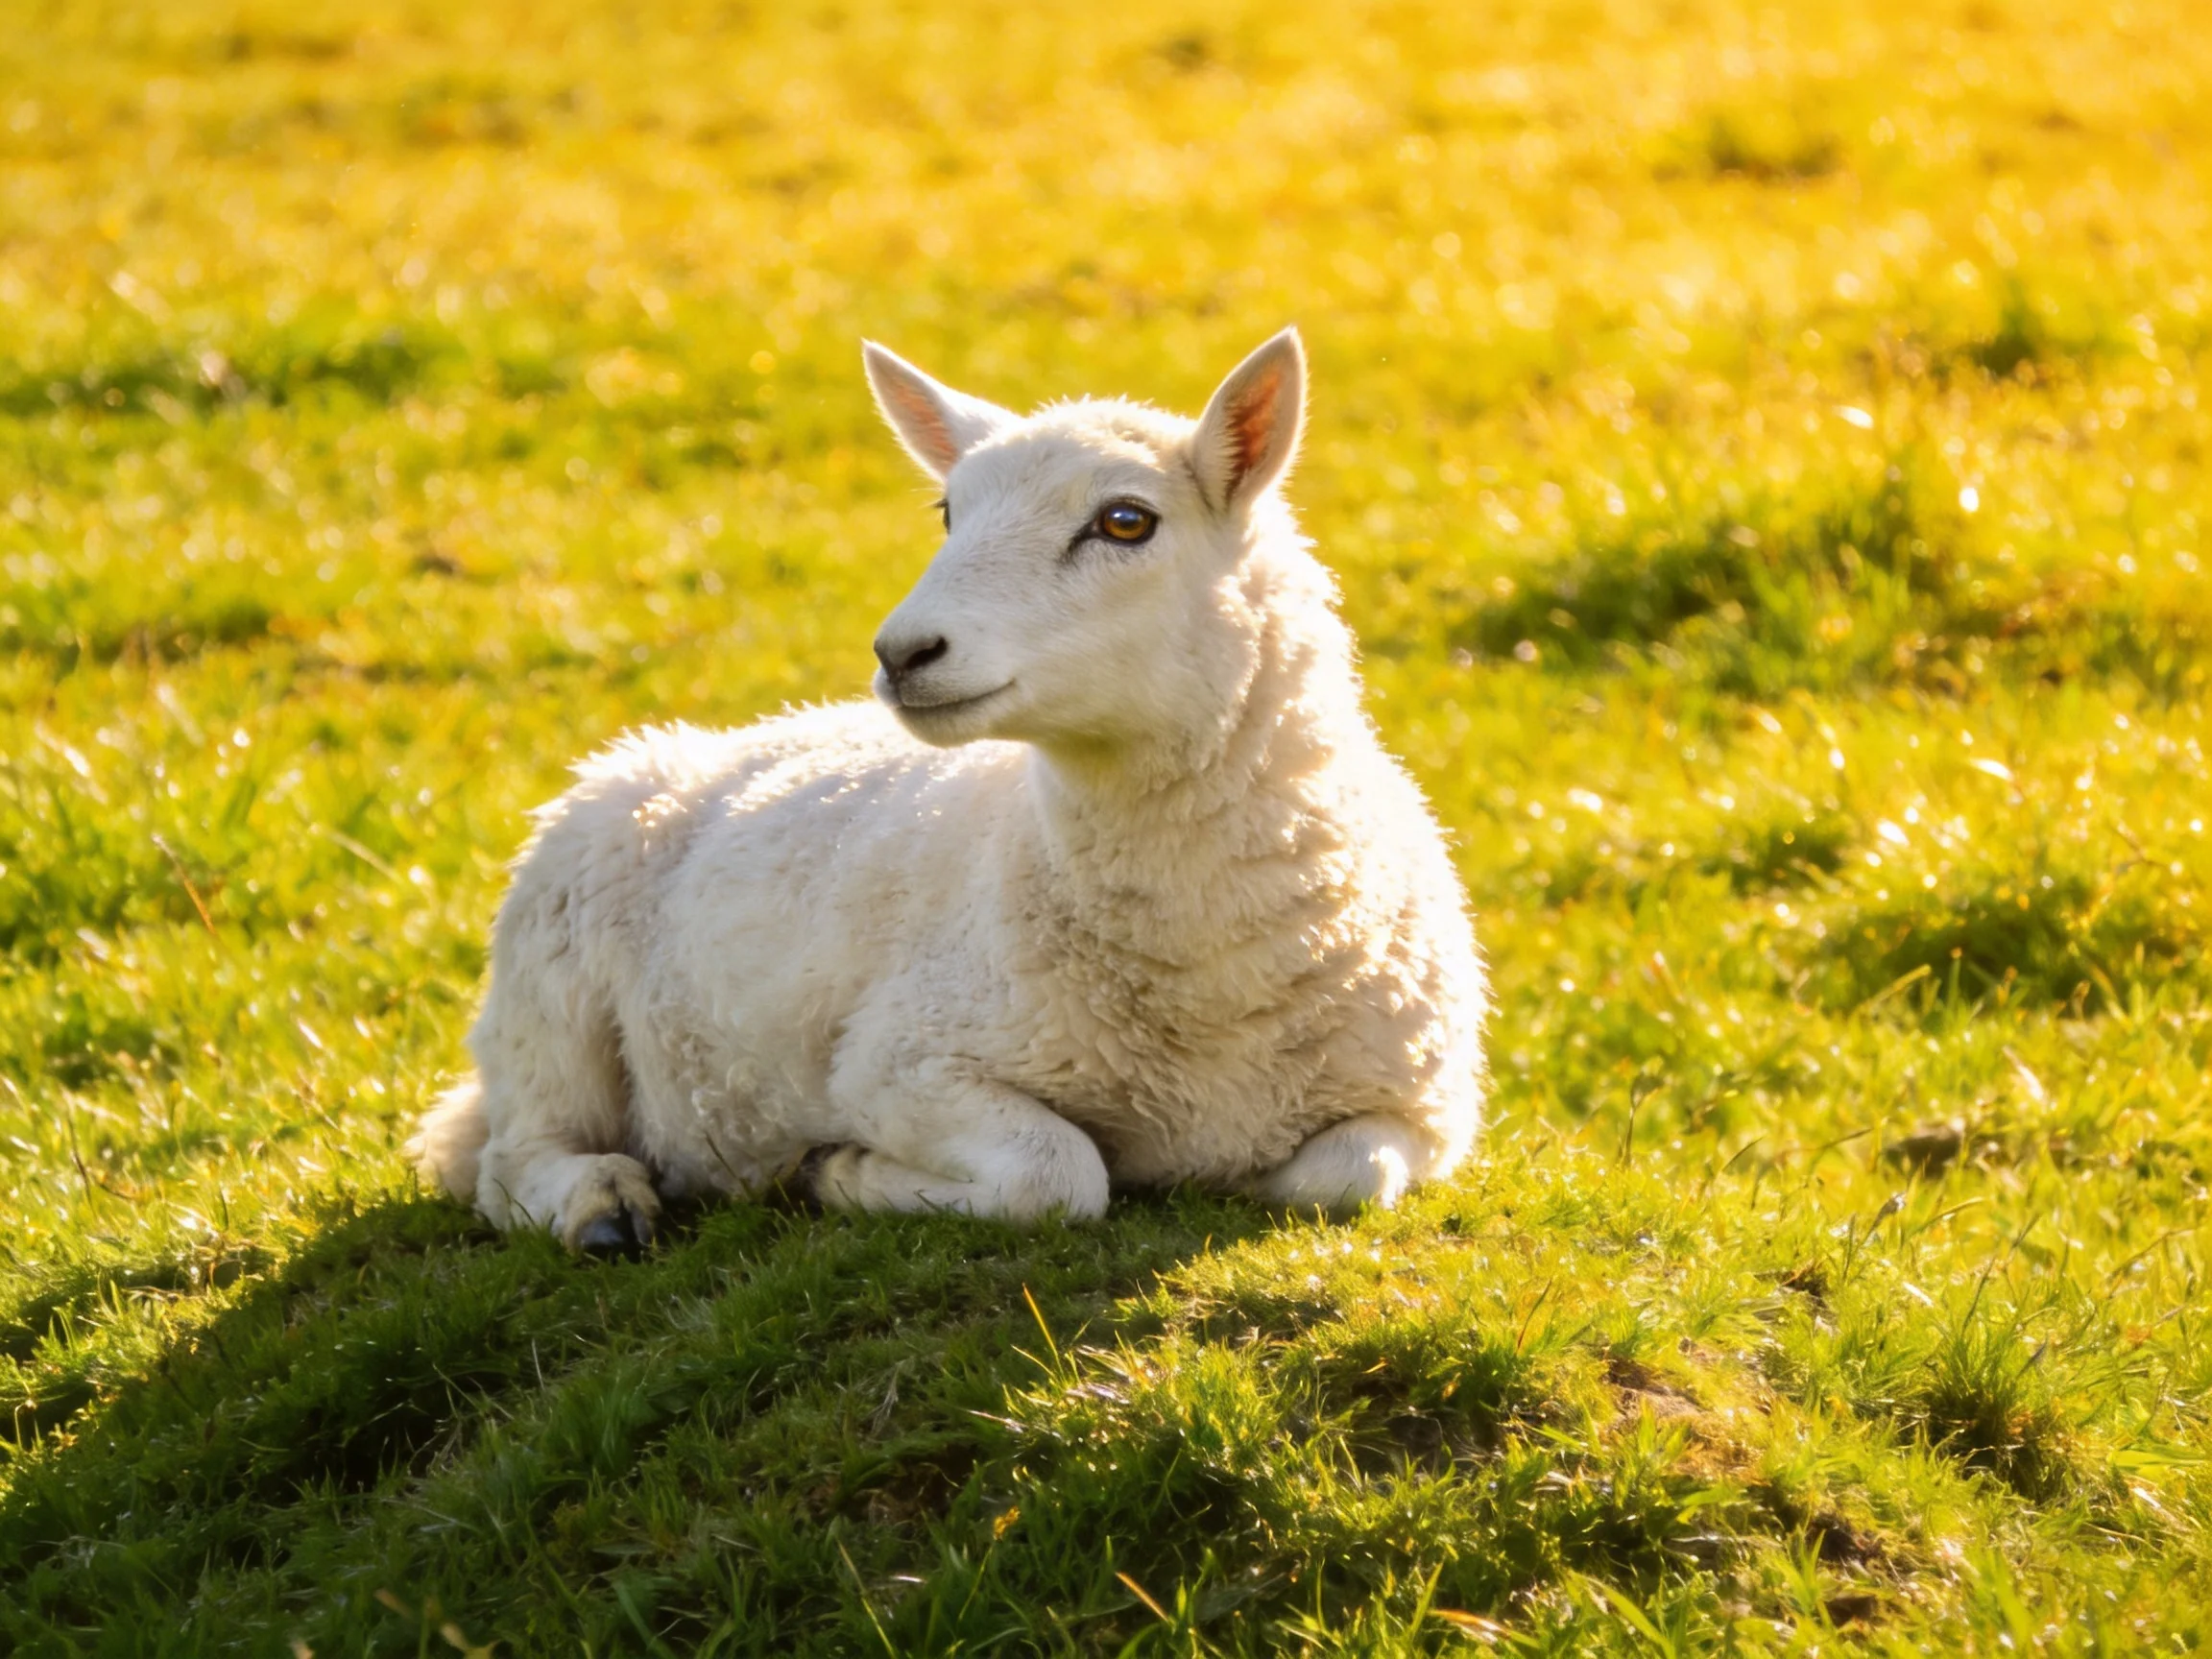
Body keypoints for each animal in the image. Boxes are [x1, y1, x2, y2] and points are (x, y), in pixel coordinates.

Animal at [408, 329, 1488, 1250]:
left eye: (1125, 521)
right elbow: (1057, 1174)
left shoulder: (1429, 1109)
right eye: (948, 511)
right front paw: (839, 1173)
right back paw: (601, 1206)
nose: (902, 652)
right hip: (551, 986)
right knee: (512, 1159)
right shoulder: (900, 1062)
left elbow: (1340, 1180)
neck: (1209, 978)